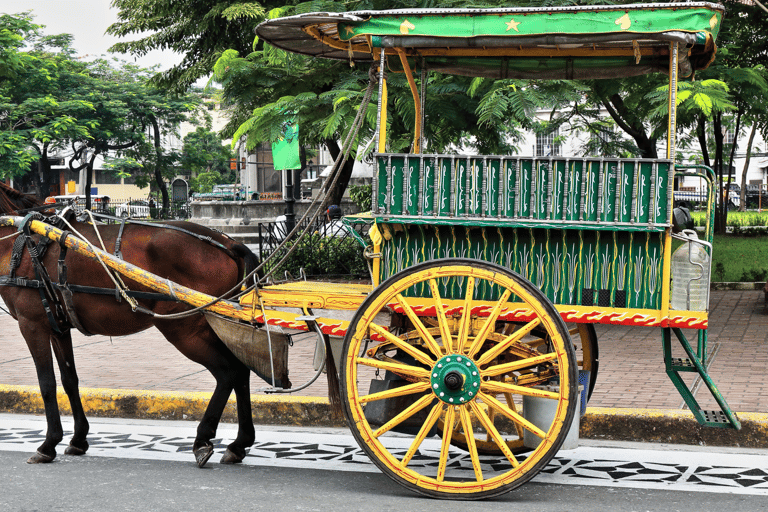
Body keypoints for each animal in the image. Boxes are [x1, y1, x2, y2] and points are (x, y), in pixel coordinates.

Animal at [0, 198, 260, 466]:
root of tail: (227, 243)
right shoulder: (57, 327)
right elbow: (69, 380)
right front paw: (78, 439)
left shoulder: (31, 324)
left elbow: (47, 383)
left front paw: (49, 443)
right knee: (240, 371)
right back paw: (239, 443)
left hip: (186, 329)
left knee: (227, 372)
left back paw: (203, 439)